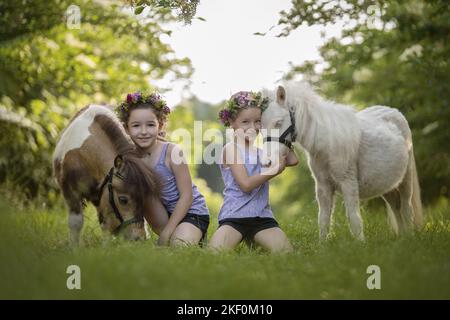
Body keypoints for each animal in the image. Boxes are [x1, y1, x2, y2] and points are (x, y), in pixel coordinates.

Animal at [53, 105, 162, 245]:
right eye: (123, 200)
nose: (139, 238)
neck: (85, 156)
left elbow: (105, 226)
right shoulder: (70, 192)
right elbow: (75, 223)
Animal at [260, 82, 422, 240]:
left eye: (278, 123)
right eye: (261, 127)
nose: (267, 162)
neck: (327, 145)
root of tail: (394, 112)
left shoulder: (348, 183)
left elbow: (354, 219)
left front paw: (360, 244)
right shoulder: (323, 187)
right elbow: (323, 220)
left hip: (406, 179)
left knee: (406, 208)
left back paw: (409, 237)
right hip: (386, 184)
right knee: (395, 206)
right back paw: (402, 237)